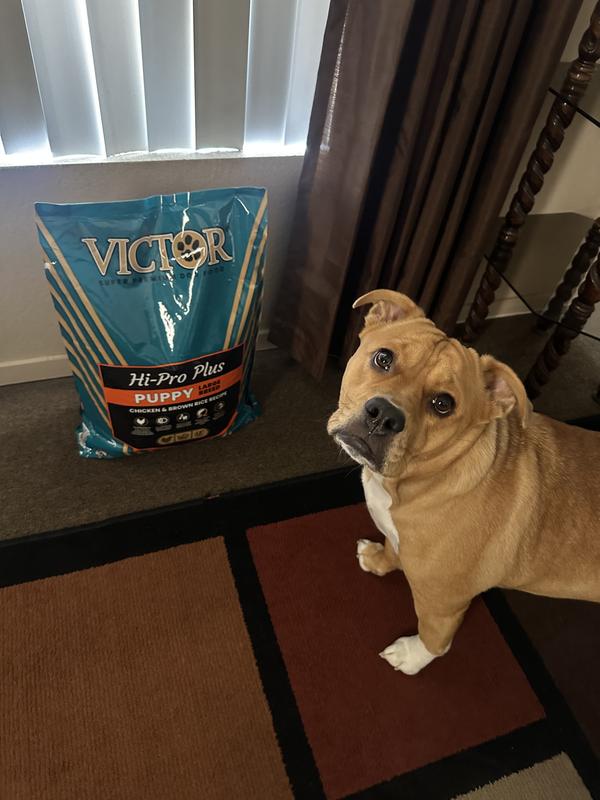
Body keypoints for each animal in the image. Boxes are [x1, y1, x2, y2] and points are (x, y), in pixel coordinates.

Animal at [327, 290, 600, 675]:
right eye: (383, 358)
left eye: (443, 404)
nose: (384, 416)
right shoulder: (399, 535)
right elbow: (394, 549)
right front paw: (379, 559)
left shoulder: (444, 602)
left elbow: (435, 640)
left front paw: (411, 657)